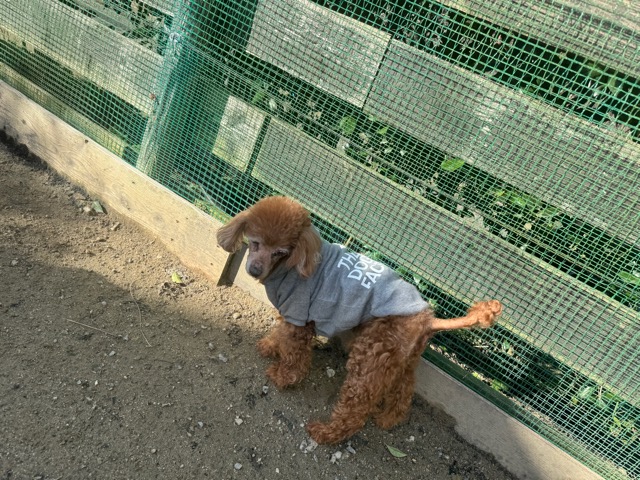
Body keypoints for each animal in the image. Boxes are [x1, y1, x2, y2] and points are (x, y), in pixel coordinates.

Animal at [217, 196, 502, 444]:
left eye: (280, 252)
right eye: (255, 243)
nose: (255, 269)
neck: (291, 266)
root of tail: (428, 317)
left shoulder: (299, 314)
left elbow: (294, 353)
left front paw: (283, 377)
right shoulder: (290, 313)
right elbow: (281, 333)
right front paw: (270, 346)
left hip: (370, 356)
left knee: (355, 411)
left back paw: (326, 432)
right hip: (400, 358)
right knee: (404, 390)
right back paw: (388, 419)